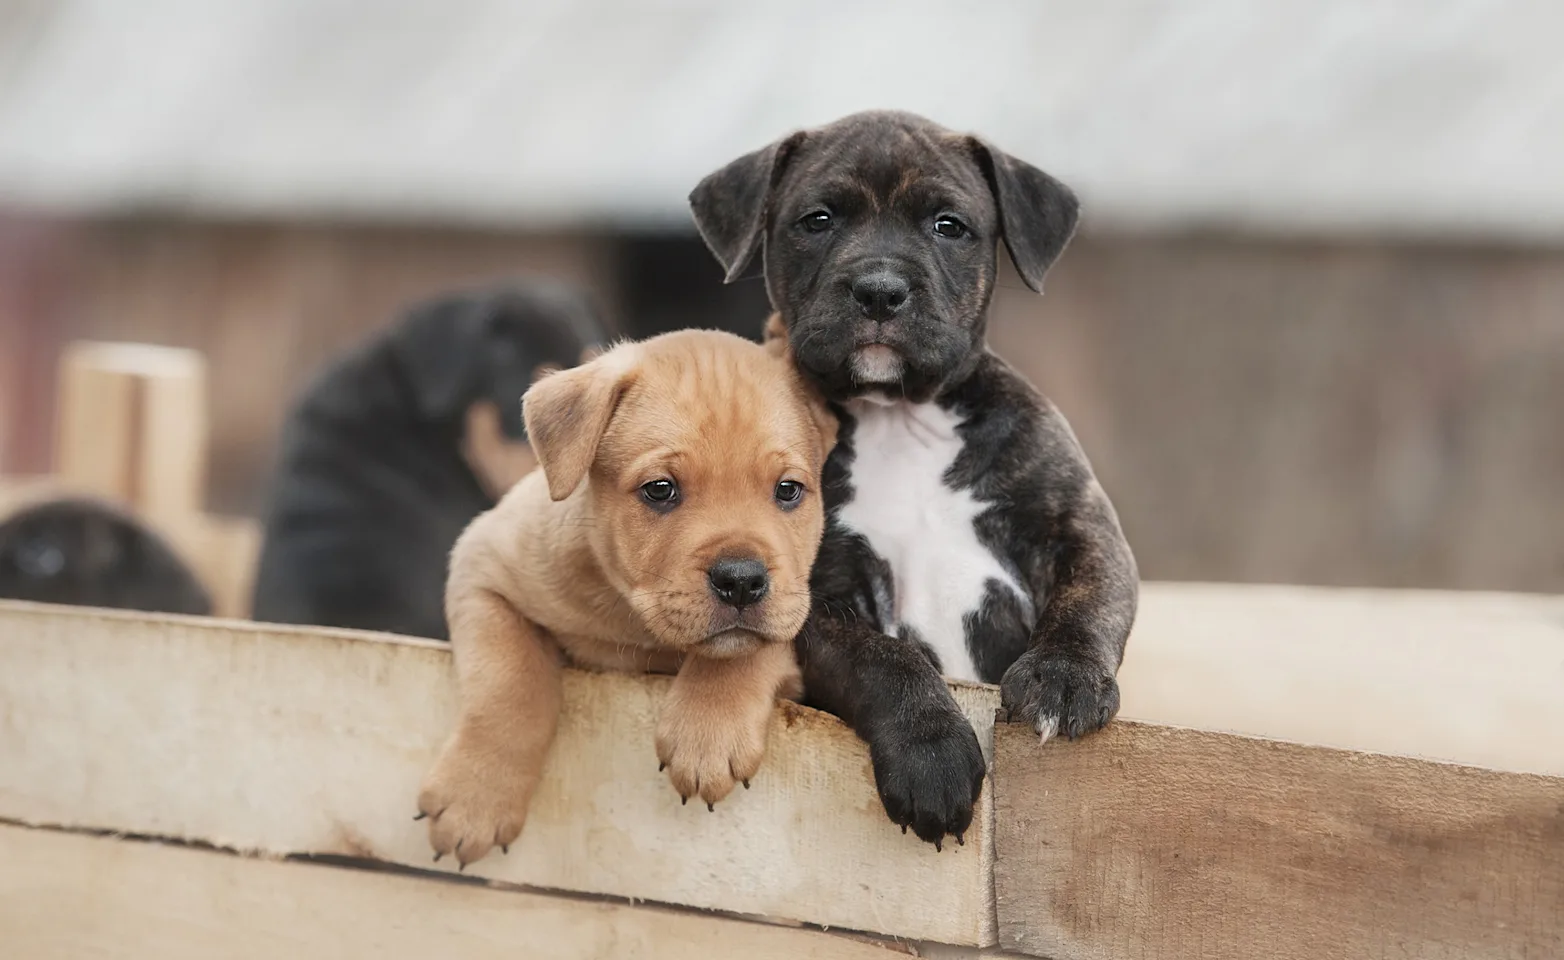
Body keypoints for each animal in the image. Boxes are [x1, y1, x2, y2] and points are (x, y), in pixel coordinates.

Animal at [412, 326, 832, 869]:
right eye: (660, 489)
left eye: (788, 490)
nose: (741, 580)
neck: (636, 623)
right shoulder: (482, 569)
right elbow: (508, 684)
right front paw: (474, 797)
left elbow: (746, 649)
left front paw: (706, 729)